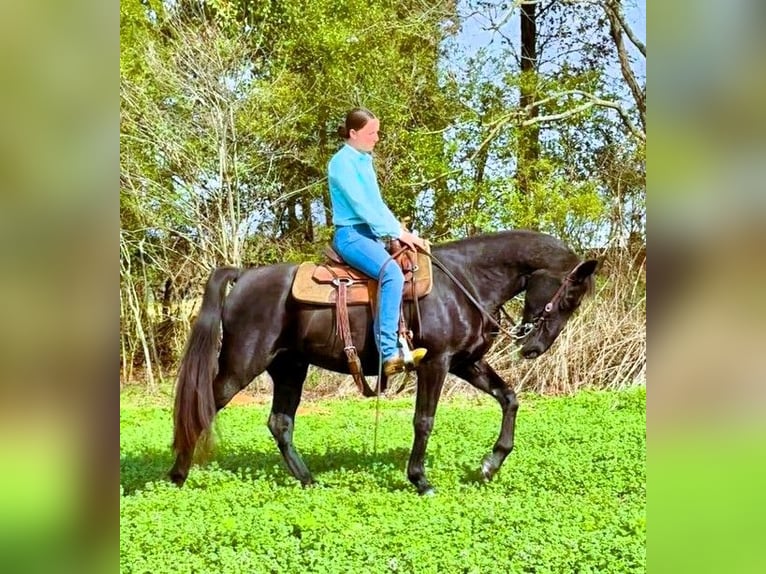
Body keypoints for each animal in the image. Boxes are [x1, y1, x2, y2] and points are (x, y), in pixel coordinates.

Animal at [172, 230, 600, 496]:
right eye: (568, 297)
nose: (534, 348)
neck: (464, 282)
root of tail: (243, 277)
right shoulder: (436, 363)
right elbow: (424, 420)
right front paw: (420, 480)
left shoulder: (465, 362)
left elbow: (509, 398)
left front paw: (489, 465)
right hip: (242, 364)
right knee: (202, 408)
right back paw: (177, 475)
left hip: (290, 367)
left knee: (281, 424)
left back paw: (310, 481)